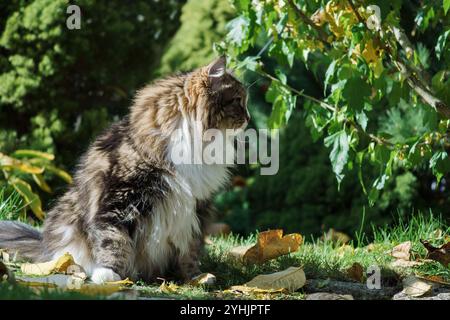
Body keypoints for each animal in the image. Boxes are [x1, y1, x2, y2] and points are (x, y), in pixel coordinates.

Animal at [0, 56, 250, 284]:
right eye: (238, 100)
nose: (248, 118)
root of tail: (43, 242)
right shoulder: (117, 200)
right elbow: (113, 241)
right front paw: (109, 275)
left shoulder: (196, 208)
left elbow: (191, 248)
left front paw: (195, 278)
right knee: (67, 258)